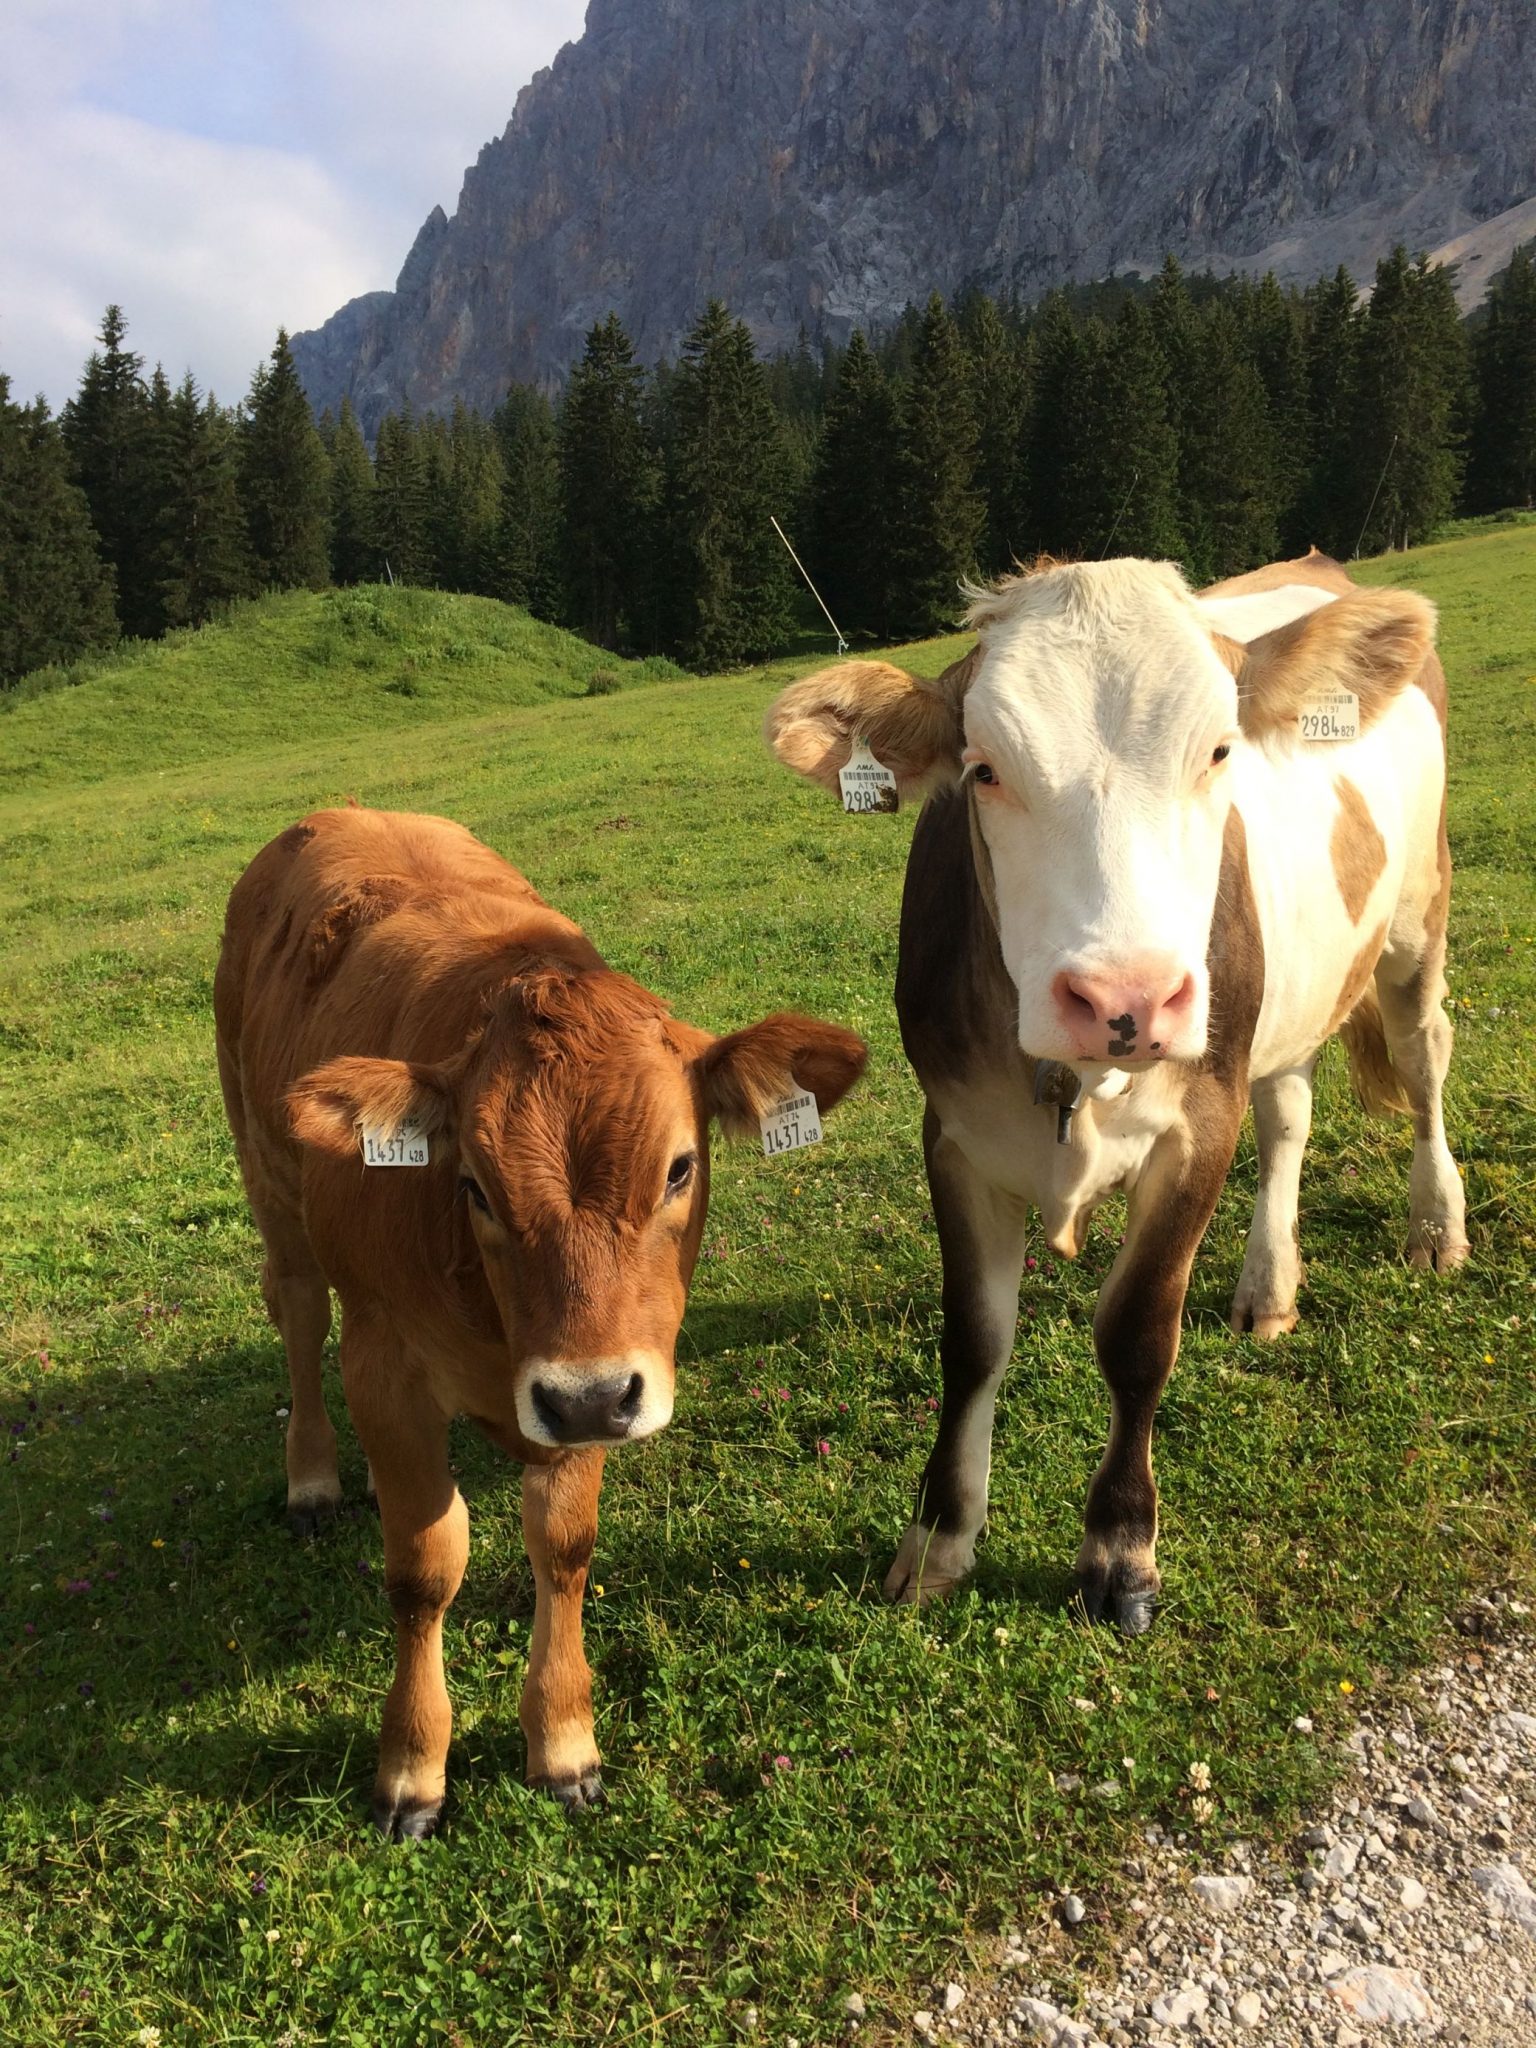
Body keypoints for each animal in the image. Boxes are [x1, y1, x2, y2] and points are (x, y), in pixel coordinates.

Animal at [215, 806, 868, 1835]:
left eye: (680, 1168)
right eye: (474, 1185)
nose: (587, 1400)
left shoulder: (596, 1370)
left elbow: (561, 1546)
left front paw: (562, 1743)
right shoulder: (386, 1364)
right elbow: (423, 1566)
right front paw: (412, 1767)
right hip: (267, 1176)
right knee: (295, 1312)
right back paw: (311, 1478)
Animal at [770, 557, 1466, 1630]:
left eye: (1218, 751)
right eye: (984, 769)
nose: (1125, 998)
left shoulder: (1200, 1122)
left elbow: (1138, 1333)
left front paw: (1121, 1554)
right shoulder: (955, 1134)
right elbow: (974, 1338)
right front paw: (936, 1540)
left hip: (1416, 914)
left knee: (1425, 1056)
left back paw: (1435, 1225)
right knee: (1290, 1113)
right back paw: (1269, 1284)